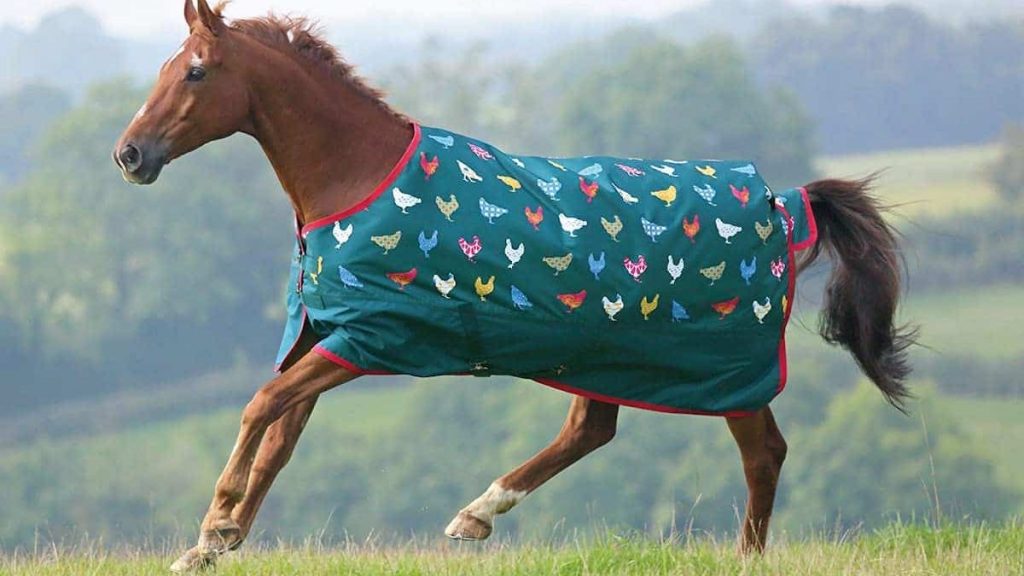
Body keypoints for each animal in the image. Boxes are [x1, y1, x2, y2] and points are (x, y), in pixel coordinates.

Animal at [113, 1, 915, 572]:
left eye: (194, 71)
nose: (130, 154)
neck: (357, 178)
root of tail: (784, 203)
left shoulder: (371, 338)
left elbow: (259, 406)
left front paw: (214, 523)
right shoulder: (327, 334)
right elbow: (280, 431)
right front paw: (211, 545)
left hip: (724, 368)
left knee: (763, 454)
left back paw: (743, 556)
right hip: (606, 355)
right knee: (593, 429)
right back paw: (476, 513)